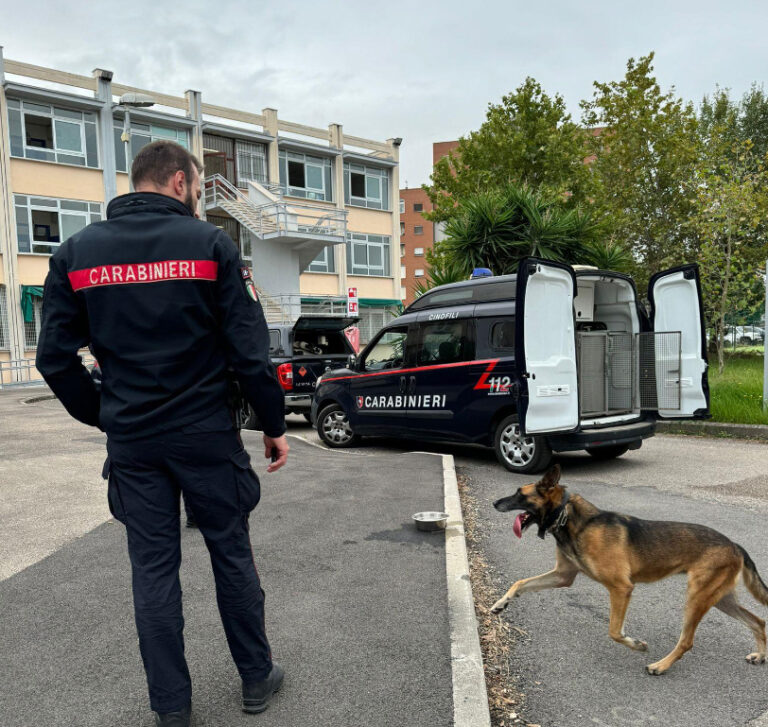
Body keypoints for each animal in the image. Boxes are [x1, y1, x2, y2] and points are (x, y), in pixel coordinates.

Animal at [492, 466, 768, 676]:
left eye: (519, 493)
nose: (494, 502)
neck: (568, 517)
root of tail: (734, 545)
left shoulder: (621, 588)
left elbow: (614, 631)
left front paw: (636, 645)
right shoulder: (563, 576)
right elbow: (520, 583)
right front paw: (500, 603)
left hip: (697, 598)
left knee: (687, 641)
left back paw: (660, 665)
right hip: (719, 599)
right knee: (758, 621)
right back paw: (760, 655)